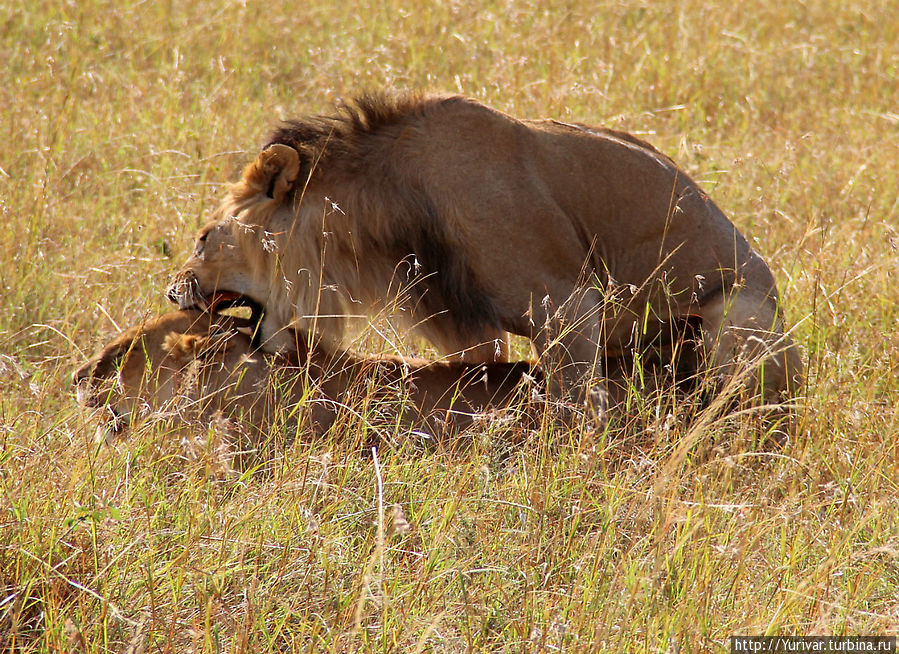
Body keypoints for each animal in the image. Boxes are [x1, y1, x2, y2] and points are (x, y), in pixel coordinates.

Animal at [167, 95, 800, 428]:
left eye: (203, 238)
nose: (173, 291)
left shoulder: (570, 308)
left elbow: (575, 409)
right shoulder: (465, 329)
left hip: (737, 317)